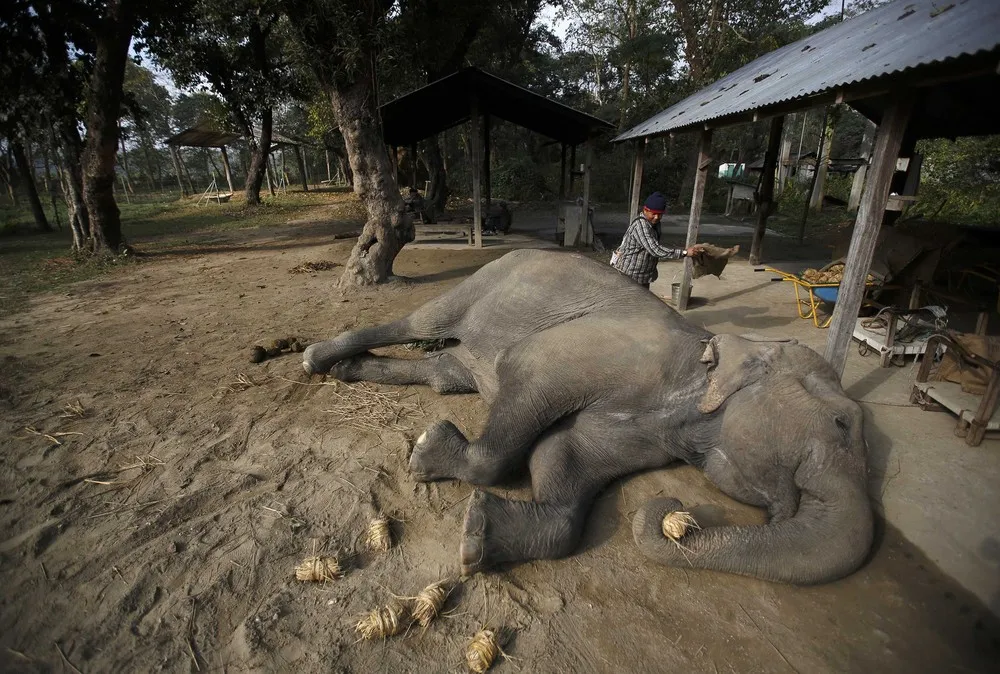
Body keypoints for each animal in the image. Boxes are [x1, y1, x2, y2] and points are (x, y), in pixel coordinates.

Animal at [303, 250, 873, 584]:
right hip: (482, 282)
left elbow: (562, 456)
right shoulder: (607, 354)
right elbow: (528, 376)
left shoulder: (648, 433)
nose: (672, 511)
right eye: (843, 423)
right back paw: (316, 359)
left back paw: (352, 370)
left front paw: (475, 538)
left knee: (446, 371)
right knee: (420, 322)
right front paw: (426, 452)